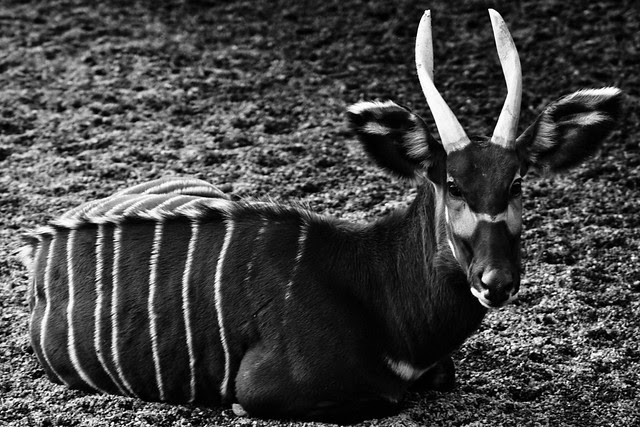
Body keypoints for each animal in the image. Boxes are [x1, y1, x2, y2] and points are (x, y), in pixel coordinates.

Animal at [20, 9, 621, 424]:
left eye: (516, 182)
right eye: (451, 183)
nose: (497, 282)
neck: (377, 292)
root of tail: (36, 242)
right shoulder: (262, 390)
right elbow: (387, 399)